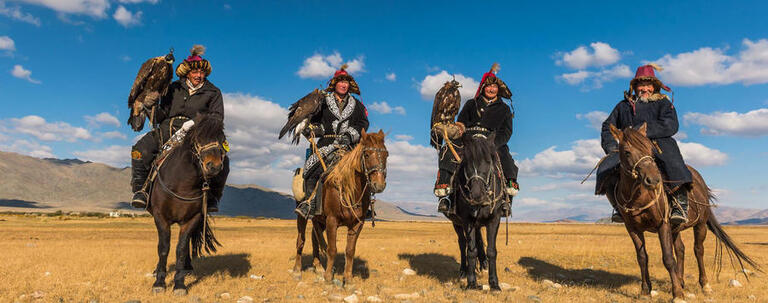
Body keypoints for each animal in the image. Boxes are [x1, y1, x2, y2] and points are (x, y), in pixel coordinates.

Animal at [148, 114, 228, 296]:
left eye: (222, 139)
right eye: (198, 138)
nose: (214, 166)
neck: (182, 184)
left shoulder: (193, 218)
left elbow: (181, 248)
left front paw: (179, 284)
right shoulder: (160, 217)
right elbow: (163, 247)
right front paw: (159, 282)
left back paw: (187, 267)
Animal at [294, 129, 390, 286]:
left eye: (386, 154)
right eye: (366, 154)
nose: (379, 185)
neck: (349, 189)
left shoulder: (357, 223)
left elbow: (350, 250)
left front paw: (348, 280)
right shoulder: (332, 220)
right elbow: (332, 249)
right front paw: (328, 278)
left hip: (319, 220)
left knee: (315, 238)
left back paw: (318, 266)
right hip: (302, 215)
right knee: (301, 240)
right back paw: (297, 270)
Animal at [444, 132, 510, 290]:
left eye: (488, 161)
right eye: (466, 163)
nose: (476, 195)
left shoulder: (494, 219)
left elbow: (491, 250)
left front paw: (494, 284)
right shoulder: (467, 220)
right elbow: (471, 250)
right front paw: (471, 282)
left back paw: (483, 264)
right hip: (457, 223)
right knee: (463, 243)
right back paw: (464, 271)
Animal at [608, 123, 760, 302]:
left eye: (650, 149)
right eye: (627, 152)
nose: (653, 180)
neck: (640, 196)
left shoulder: (663, 224)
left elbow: (668, 258)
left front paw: (677, 294)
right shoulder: (632, 229)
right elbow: (642, 258)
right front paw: (645, 291)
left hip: (700, 224)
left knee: (698, 250)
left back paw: (705, 285)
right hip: (676, 228)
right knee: (680, 249)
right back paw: (681, 281)